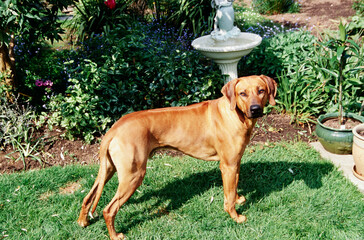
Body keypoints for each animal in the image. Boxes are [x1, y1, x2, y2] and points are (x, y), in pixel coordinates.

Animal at [77, 74, 276, 239]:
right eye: (242, 93)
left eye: (261, 90)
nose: (255, 109)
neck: (234, 113)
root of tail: (114, 128)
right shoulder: (227, 165)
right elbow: (229, 196)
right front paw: (235, 216)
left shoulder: (235, 162)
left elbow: (233, 188)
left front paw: (238, 198)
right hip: (133, 175)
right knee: (109, 209)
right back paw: (115, 235)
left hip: (109, 169)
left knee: (89, 196)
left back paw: (82, 221)